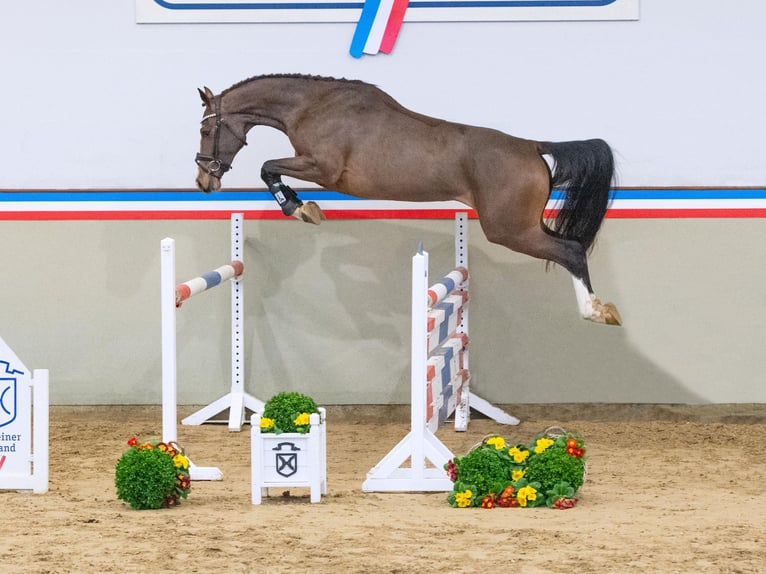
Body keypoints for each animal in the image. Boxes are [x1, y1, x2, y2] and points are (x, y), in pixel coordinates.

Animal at [195, 73, 620, 324]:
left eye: (204, 130)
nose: (203, 181)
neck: (314, 106)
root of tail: (533, 146)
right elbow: (271, 170)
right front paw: (305, 208)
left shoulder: (322, 169)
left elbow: (268, 167)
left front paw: (300, 209)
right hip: (525, 224)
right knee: (570, 244)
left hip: (509, 230)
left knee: (570, 250)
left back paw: (596, 311)